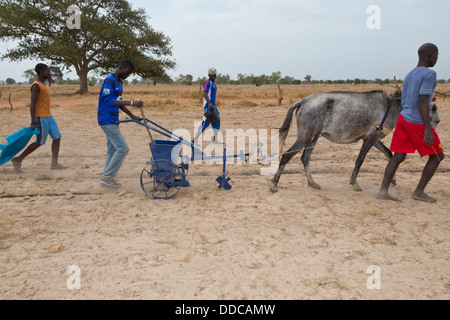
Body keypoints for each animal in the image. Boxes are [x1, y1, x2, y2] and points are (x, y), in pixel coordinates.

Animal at [270, 89, 440, 192]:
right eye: (435, 120)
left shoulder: (373, 139)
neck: (390, 107)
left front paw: (393, 179)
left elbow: (389, 154)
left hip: (313, 137)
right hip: (305, 137)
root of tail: (304, 101)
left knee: (305, 158)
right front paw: (355, 183)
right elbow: (360, 160)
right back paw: (274, 184)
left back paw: (312, 183)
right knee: (287, 155)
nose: (431, 142)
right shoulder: (369, 139)